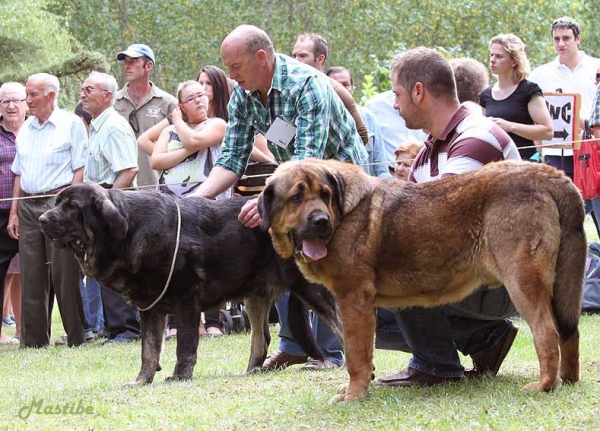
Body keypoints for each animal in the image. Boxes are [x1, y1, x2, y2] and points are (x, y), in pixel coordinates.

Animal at [39, 184, 342, 386]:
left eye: (72, 207)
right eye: (57, 202)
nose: (42, 219)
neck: (130, 231)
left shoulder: (186, 300)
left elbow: (184, 344)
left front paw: (179, 376)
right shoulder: (150, 308)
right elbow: (149, 351)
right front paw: (142, 380)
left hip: (313, 290)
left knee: (340, 325)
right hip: (256, 297)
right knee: (261, 338)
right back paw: (250, 372)